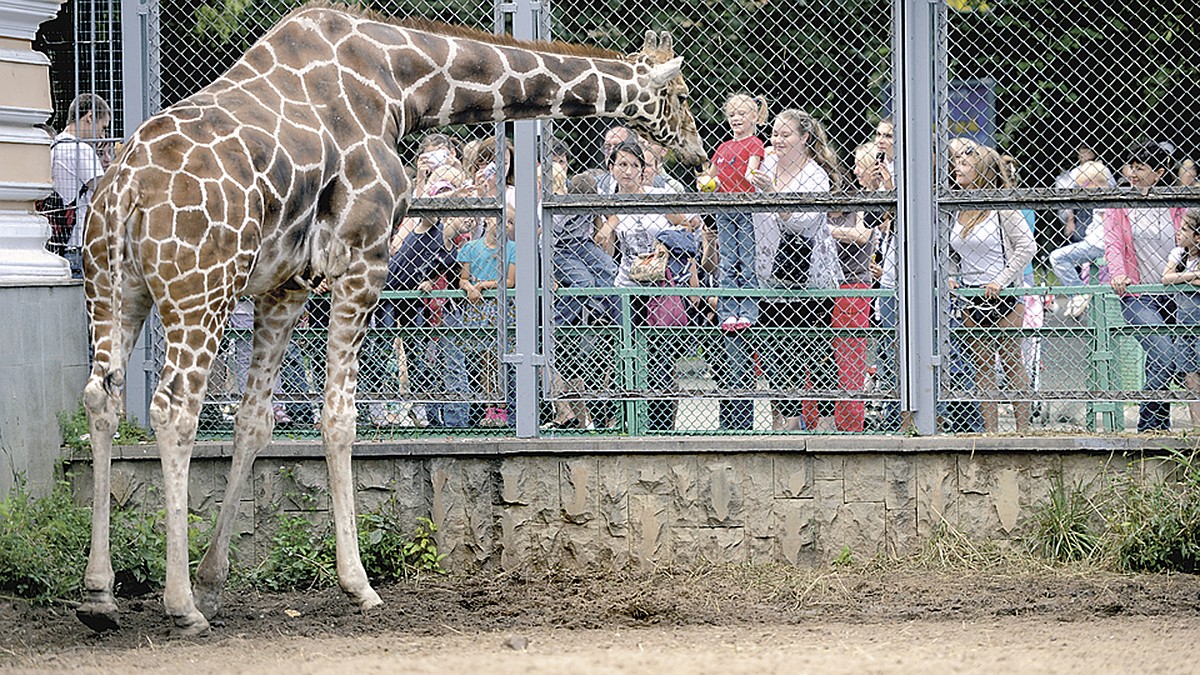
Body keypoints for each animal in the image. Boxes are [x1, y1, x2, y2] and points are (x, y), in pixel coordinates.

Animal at [75, 1, 705, 634]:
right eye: (677, 93)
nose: (696, 152)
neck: (403, 86)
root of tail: (125, 187)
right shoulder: (363, 259)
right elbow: (338, 418)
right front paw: (357, 584)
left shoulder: (287, 282)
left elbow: (256, 422)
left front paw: (213, 583)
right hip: (200, 289)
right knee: (173, 409)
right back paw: (178, 606)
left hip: (114, 287)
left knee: (102, 397)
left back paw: (100, 594)